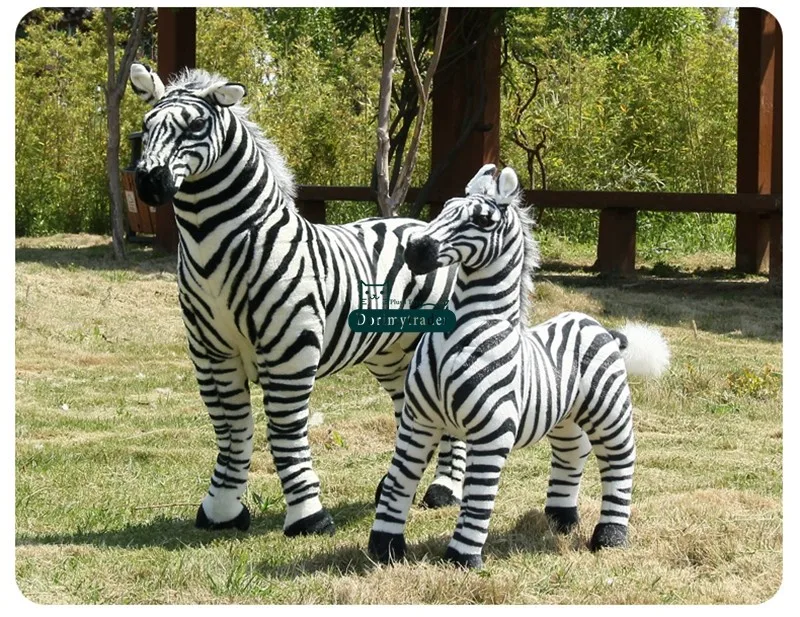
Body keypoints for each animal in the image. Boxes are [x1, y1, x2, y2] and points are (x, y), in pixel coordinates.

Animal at [128, 63, 466, 536]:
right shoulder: (211, 352)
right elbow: (231, 429)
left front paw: (309, 515)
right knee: (412, 414)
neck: (214, 248)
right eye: (145, 127)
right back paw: (393, 487)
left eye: (195, 126)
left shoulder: (290, 348)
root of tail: (423, 225)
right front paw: (221, 511)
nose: (148, 182)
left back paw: (444, 491)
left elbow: (285, 432)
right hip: (391, 352)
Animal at [368, 164, 670, 569]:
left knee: (620, 462)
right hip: (565, 416)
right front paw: (383, 548)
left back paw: (610, 536)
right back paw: (561, 519)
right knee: (572, 453)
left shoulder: (491, 434)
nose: (416, 251)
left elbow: (478, 498)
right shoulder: (418, 421)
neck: (461, 334)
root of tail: (600, 327)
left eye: (482, 220)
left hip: (609, 410)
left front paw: (463, 559)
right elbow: (399, 482)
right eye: (445, 207)